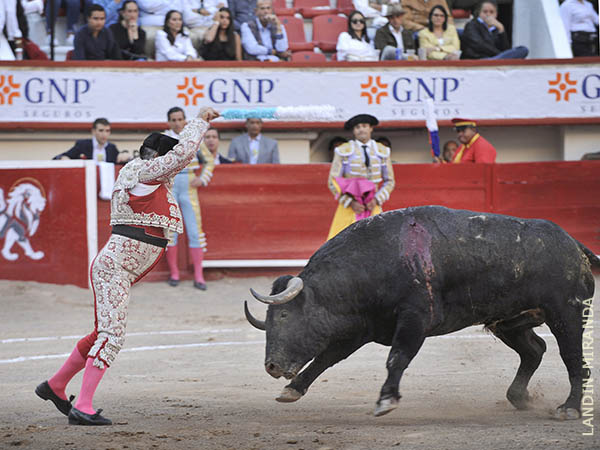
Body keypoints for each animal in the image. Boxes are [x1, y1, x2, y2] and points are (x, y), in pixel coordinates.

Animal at [245, 207, 600, 418]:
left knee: (573, 359)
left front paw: (386, 400)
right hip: (508, 322)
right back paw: (520, 397)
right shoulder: (359, 329)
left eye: (284, 317)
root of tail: (574, 245)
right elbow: (325, 358)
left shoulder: (415, 319)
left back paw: (569, 408)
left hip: (566, 314)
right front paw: (292, 390)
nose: (271, 366)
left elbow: (397, 358)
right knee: (534, 349)